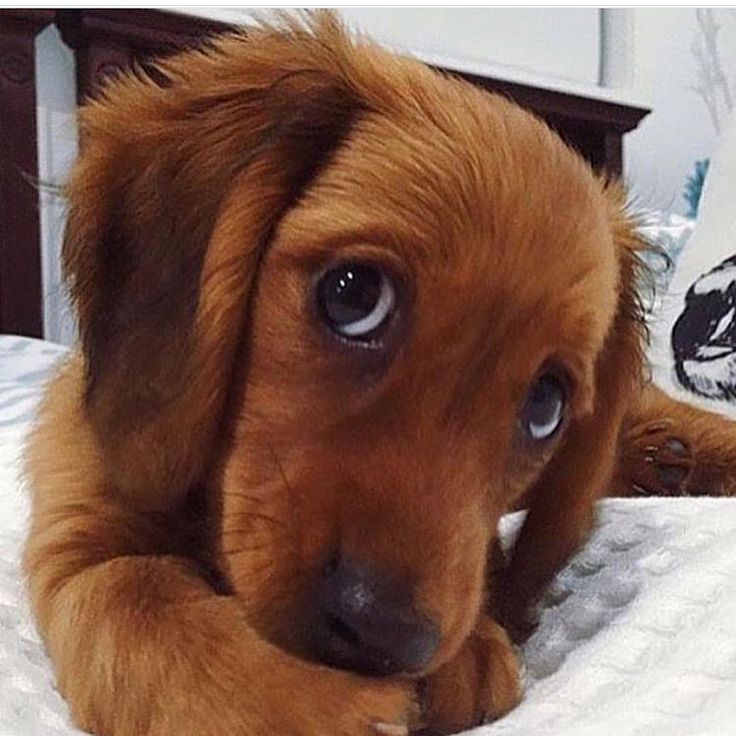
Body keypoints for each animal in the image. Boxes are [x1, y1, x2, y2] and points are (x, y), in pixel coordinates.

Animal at [23, 10, 732, 736]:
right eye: (354, 295)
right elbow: (135, 593)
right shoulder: (75, 535)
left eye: (545, 407)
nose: (387, 635)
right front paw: (312, 700)